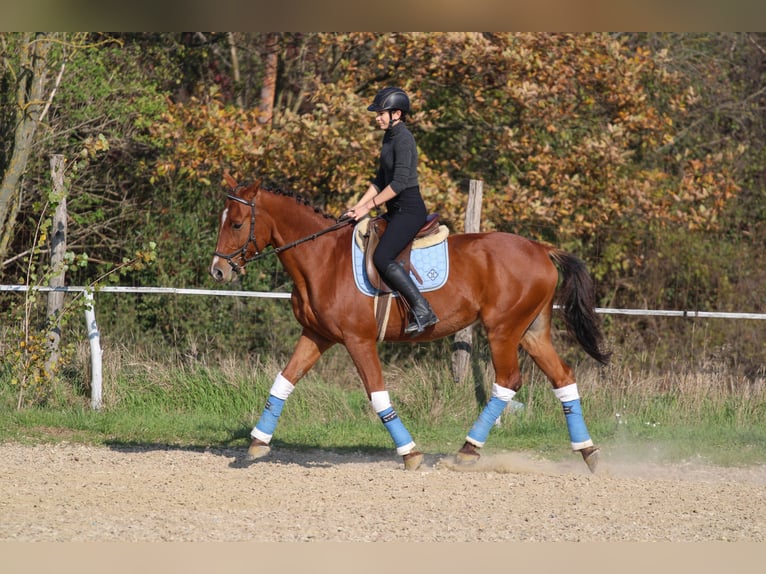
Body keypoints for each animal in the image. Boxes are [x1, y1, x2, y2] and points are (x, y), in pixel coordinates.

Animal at [208, 176, 612, 472]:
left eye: (238, 224)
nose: (218, 270)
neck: (321, 257)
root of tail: (541, 248)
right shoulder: (317, 335)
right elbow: (283, 381)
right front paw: (257, 443)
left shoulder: (358, 340)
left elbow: (377, 395)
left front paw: (411, 454)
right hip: (531, 332)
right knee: (562, 377)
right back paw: (589, 452)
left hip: (503, 331)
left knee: (508, 382)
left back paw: (467, 451)